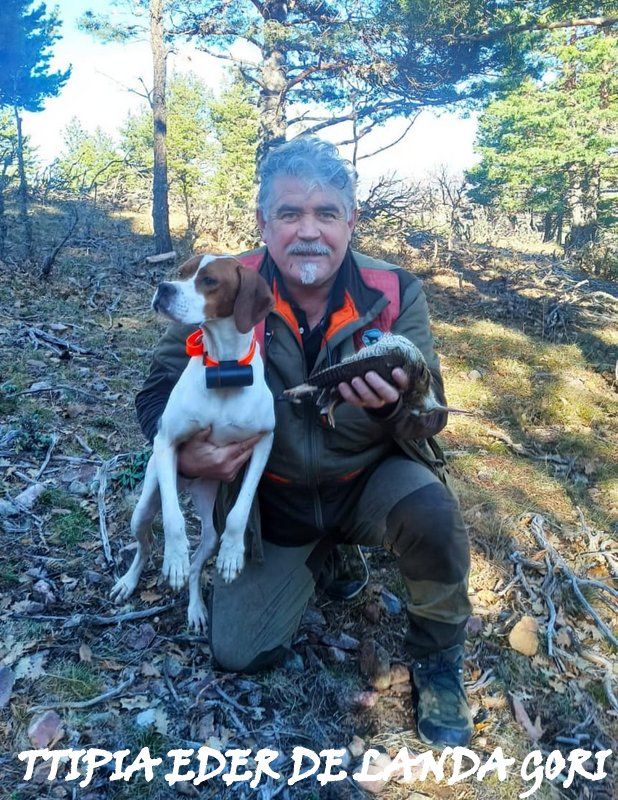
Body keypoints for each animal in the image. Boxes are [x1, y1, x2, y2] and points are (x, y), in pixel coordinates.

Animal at [110, 256, 274, 632]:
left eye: (210, 280)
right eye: (182, 272)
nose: (163, 288)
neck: (224, 371)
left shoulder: (263, 442)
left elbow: (241, 510)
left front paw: (232, 554)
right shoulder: (166, 442)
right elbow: (173, 519)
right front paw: (175, 559)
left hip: (208, 524)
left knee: (201, 563)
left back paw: (197, 608)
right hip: (144, 507)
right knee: (145, 546)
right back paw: (129, 581)